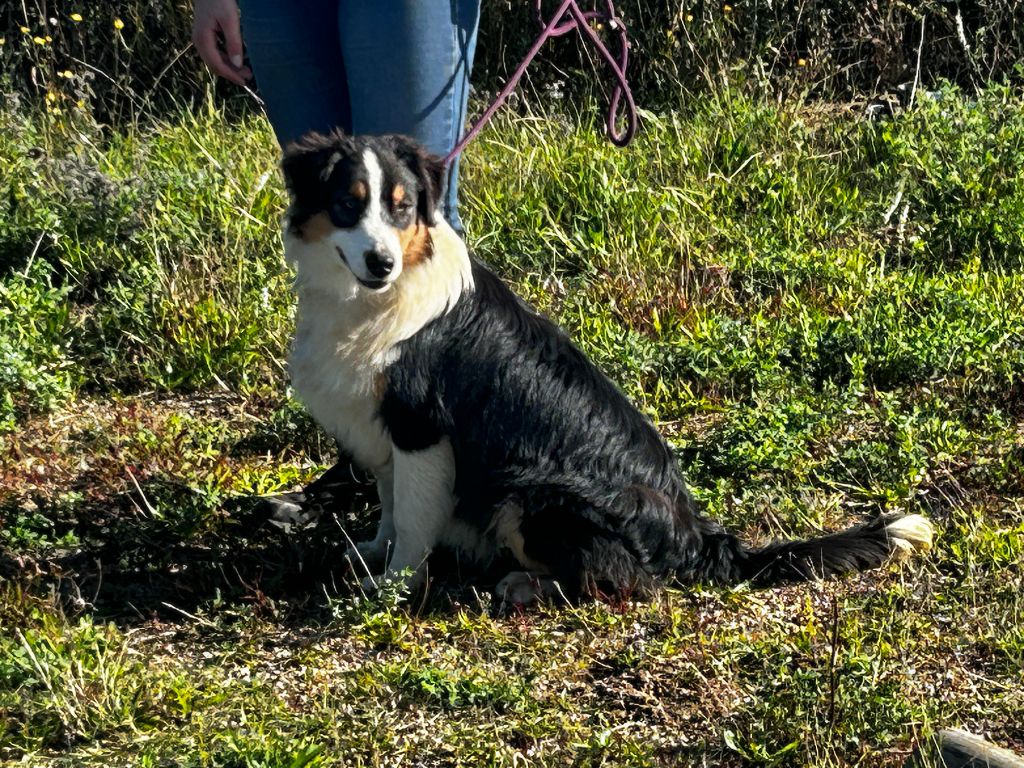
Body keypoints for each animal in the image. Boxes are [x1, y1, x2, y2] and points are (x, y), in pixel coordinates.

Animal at [278, 129, 929, 606]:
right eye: (348, 204)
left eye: (403, 208)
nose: (381, 262)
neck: (375, 299)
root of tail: (697, 538)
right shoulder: (381, 428)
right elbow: (390, 507)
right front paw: (372, 550)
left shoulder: (421, 430)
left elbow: (413, 523)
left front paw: (390, 586)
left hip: (533, 491)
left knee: (624, 582)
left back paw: (525, 584)